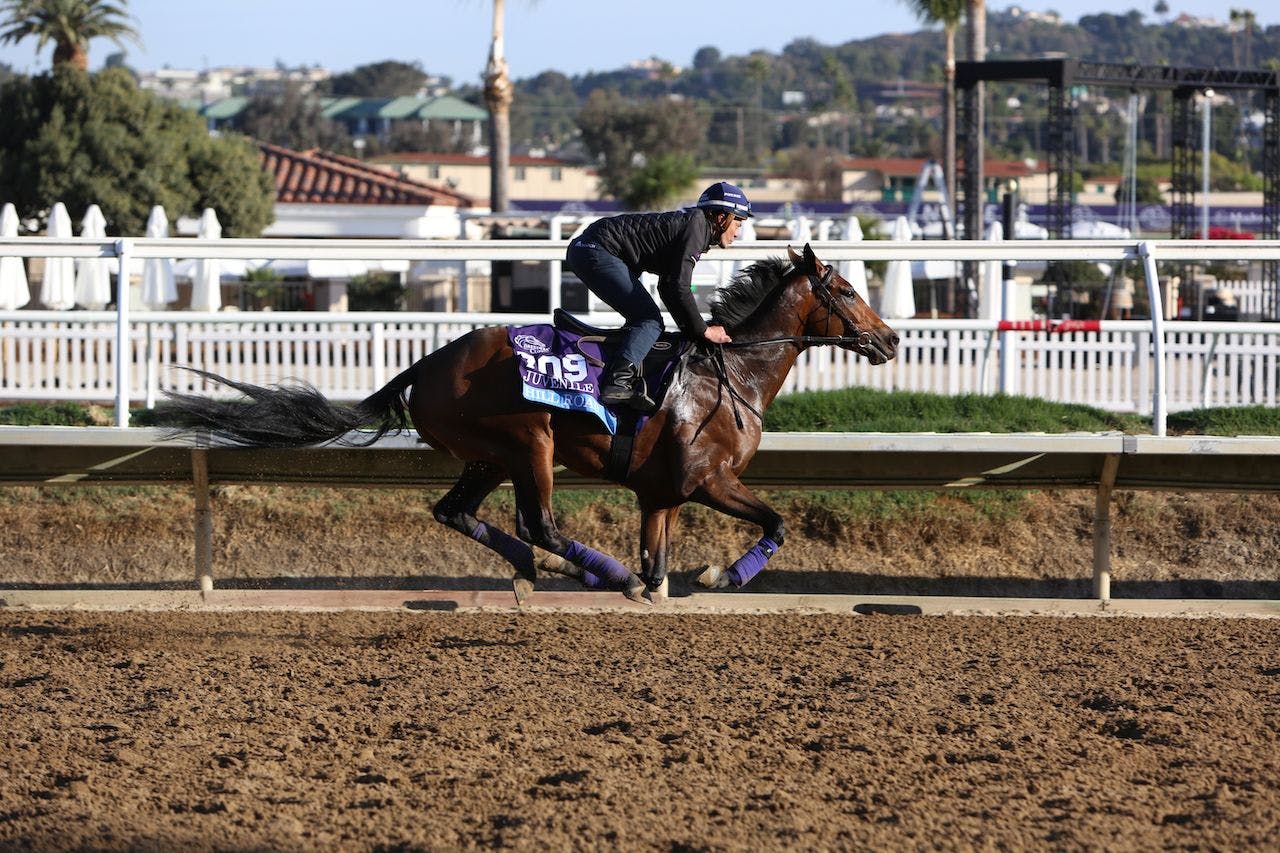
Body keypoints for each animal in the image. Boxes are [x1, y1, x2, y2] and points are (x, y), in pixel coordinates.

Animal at [160, 245, 901, 604]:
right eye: (846, 289)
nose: (891, 338)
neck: (731, 376)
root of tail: (428, 362)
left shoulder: (659, 496)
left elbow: (659, 560)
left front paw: (665, 585)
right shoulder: (704, 481)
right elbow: (777, 521)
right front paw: (722, 575)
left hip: (488, 455)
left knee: (456, 512)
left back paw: (534, 568)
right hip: (529, 442)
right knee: (538, 521)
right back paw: (589, 571)